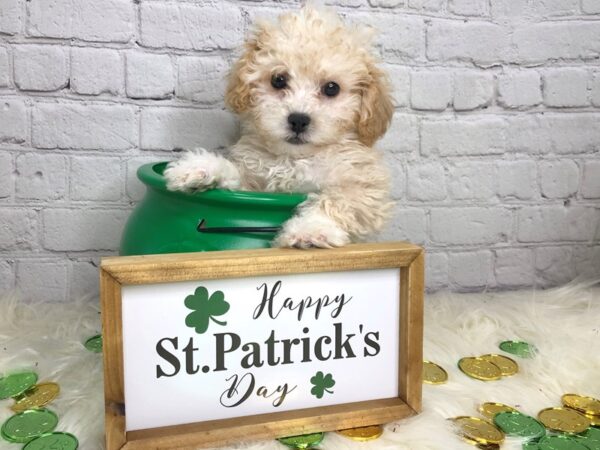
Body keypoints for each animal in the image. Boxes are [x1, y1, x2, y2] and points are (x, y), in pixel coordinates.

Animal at [166, 5, 396, 248]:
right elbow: (237, 177)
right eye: (278, 79)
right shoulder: (255, 188)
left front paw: (311, 229)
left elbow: (336, 201)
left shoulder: (364, 189)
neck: (294, 159)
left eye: (332, 88)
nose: (298, 120)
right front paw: (200, 167)